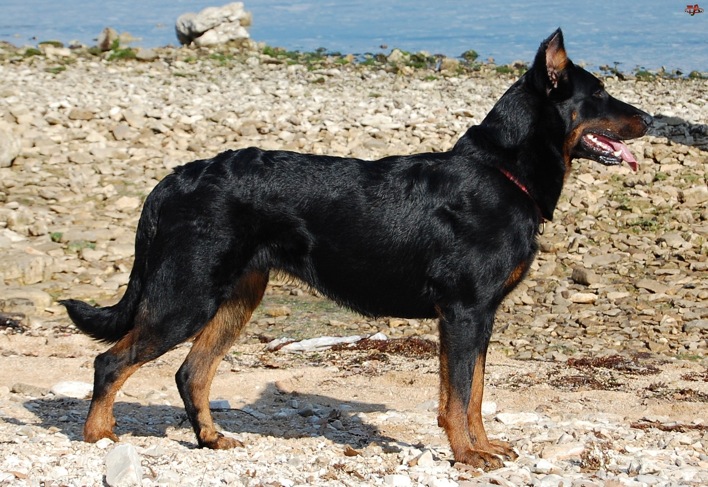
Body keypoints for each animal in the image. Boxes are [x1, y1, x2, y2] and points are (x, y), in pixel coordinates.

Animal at [63, 29, 648, 468]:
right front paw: (466, 455)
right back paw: (99, 437)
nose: (649, 120)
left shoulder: (477, 317)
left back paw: (211, 439)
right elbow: (461, 396)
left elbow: (474, 394)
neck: (504, 173)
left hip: (235, 298)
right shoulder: (465, 312)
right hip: (186, 297)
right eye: (599, 94)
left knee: (191, 373)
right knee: (110, 362)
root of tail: (171, 181)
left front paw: (481, 447)